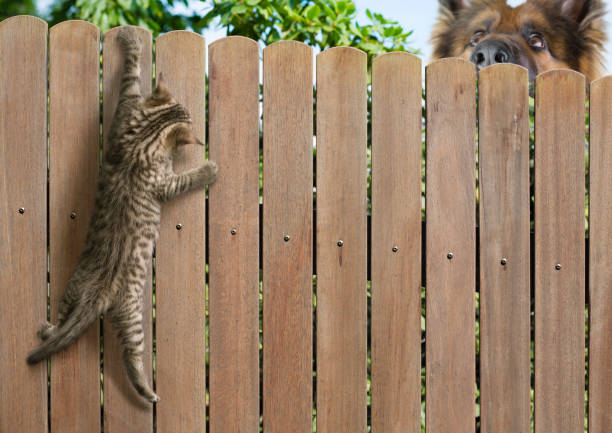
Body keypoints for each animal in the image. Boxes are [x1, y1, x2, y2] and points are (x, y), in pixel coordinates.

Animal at [26, 27, 218, 404]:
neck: (144, 134)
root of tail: (97, 295)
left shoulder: (125, 110)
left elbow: (129, 75)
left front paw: (130, 42)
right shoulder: (164, 183)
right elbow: (133, 74)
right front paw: (208, 170)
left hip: (74, 285)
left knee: (63, 316)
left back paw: (49, 329)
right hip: (132, 317)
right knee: (132, 355)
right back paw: (147, 390)